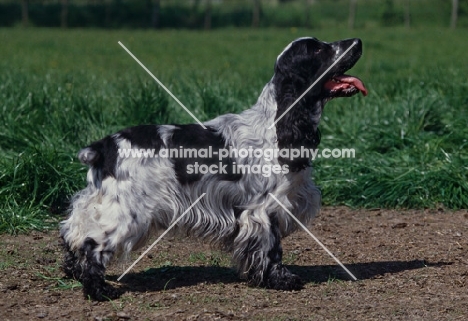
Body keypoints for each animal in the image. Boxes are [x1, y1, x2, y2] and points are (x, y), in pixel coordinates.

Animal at [59, 36, 366, 298]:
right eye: (319, 49)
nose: (358, 41)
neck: (278, 125)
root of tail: (104, 146)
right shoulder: (264, 208)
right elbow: (272, 247)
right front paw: (280, 280)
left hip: (100, 200)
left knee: (72, 229)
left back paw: (74, 271)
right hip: (129, 212)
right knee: (92, 243)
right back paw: (99, 290)